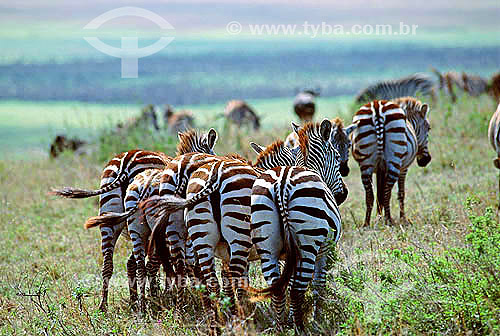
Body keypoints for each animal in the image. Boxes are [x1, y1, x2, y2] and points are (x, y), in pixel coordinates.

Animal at [48, 129, 217, 312]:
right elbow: (176, 264)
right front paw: (168, 296)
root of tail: (125, 163)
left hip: (109, 220)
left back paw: (106, 306)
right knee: (147, 264)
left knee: (109, 263)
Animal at [350, 98, 432, 227]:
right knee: (387, 193)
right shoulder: (403, 169)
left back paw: (366, 223)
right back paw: (389, 220)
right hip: (395, 160)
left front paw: (378, 218)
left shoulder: (380, 170)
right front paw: (403, 219)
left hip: (365, 164)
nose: (426, 160)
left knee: (370, 195)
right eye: (428, 128)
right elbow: (400, 193)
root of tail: (377, 108)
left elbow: (379, 194)